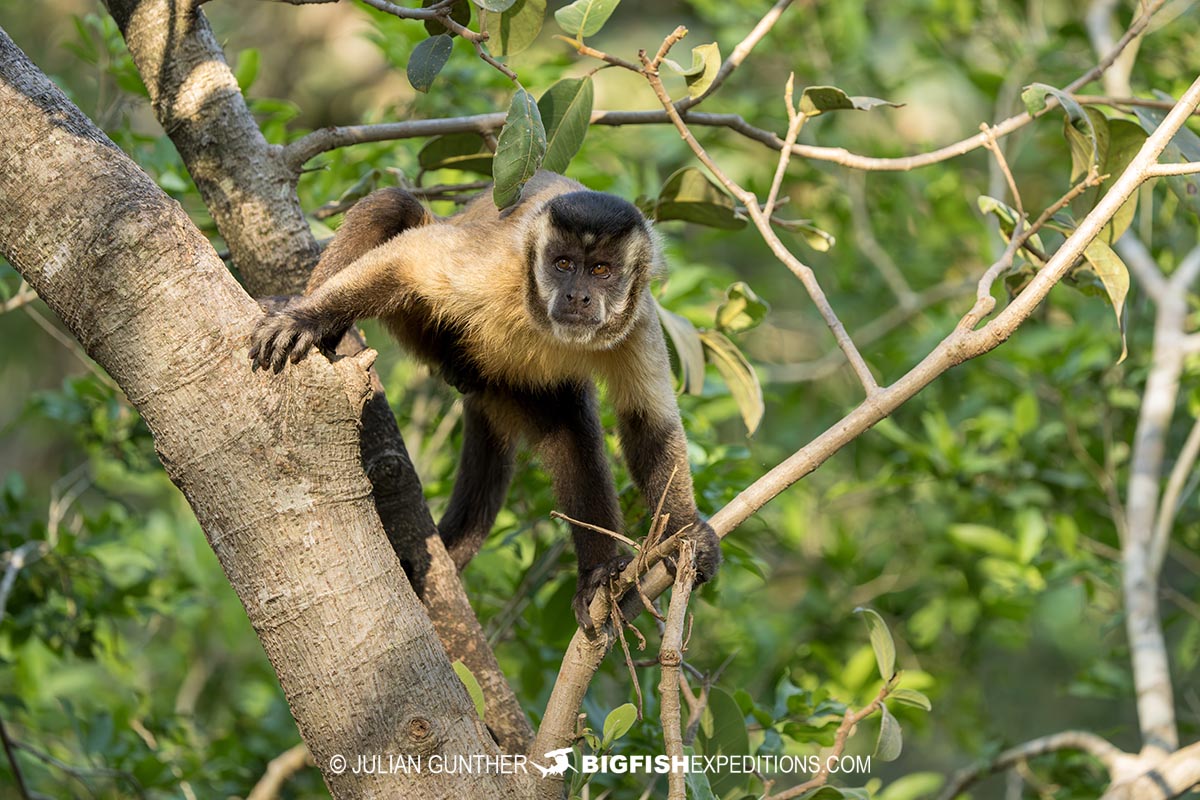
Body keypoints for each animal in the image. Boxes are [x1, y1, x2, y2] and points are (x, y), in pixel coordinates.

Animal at [248, 170, 721, 632]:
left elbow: (648, 425)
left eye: (601, 270)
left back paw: (598, 576)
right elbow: (406, 260)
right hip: (428, 331)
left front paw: (686, 534)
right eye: (563, 264)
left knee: (571, 427)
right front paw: (304, 317)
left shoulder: (638, 321)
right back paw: (311, 320)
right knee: (392, 207)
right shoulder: (501, 264)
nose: (577, 296)